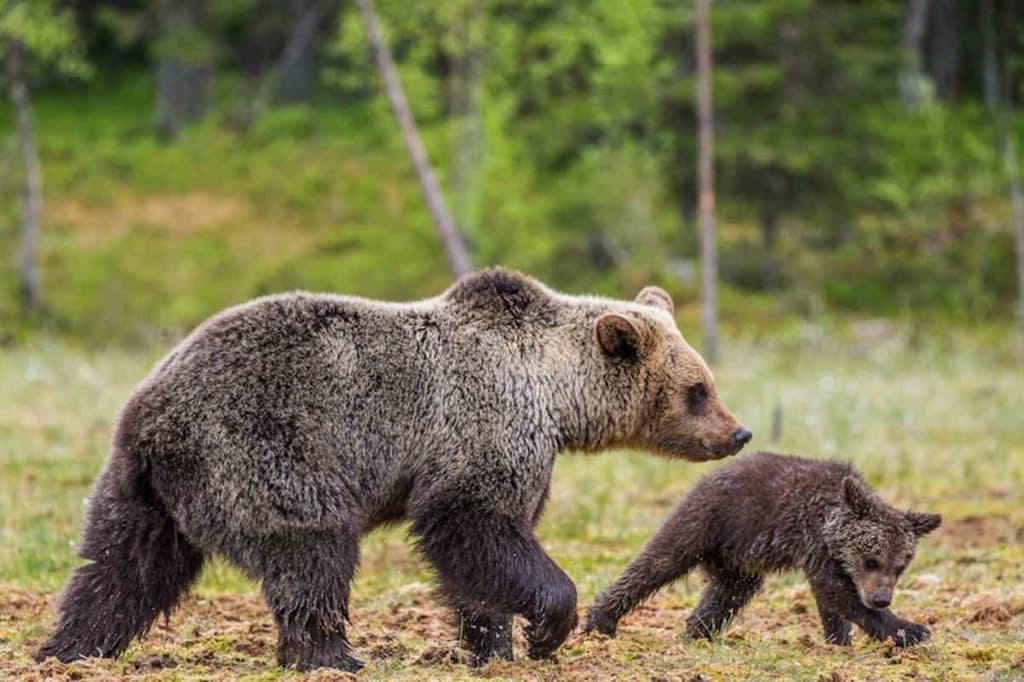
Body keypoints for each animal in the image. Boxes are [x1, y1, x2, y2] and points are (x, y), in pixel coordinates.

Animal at [35, 268, 752, 672]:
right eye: (697, 390)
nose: (738, 431)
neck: (555, 393)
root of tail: (148, 411)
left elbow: (480, 560)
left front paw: (491, 643)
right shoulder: (483, 426)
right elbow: (472, 523)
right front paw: (546, 628)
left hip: (142, 486)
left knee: (122, 565)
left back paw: (70, 648)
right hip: (262, 450)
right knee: (311, 553)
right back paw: (331, 655)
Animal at [584, 451, 941, 648]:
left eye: (900, 566)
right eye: (872, 561)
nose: (881, 598)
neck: (830, 522)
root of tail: (708, 475)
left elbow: (833, 603)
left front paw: (839, 639)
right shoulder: (814, 542)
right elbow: (836, 592)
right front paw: (911, 630)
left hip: (738, 562)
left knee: (725, 596)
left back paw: (698, 632)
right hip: (705, 522)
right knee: (658, 561)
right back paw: (599, 621)